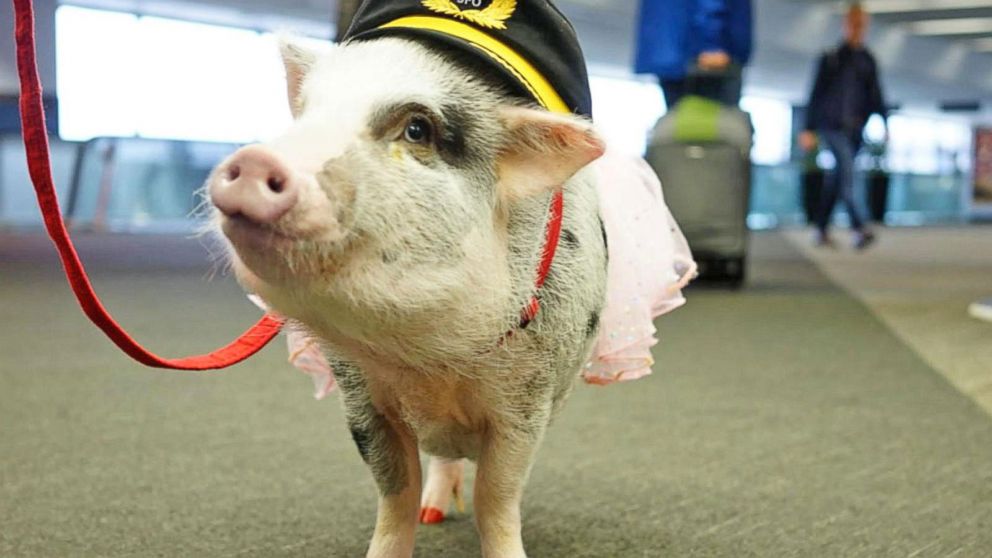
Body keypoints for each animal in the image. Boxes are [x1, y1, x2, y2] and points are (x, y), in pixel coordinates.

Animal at [209, 36, 608, 558]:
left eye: (417, 129)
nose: (256, 161)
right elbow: (395, 490)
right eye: (307, 113)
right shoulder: (359, 396)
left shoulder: (528, 401)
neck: (430, 359)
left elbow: (497, 498)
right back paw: (433, 514)